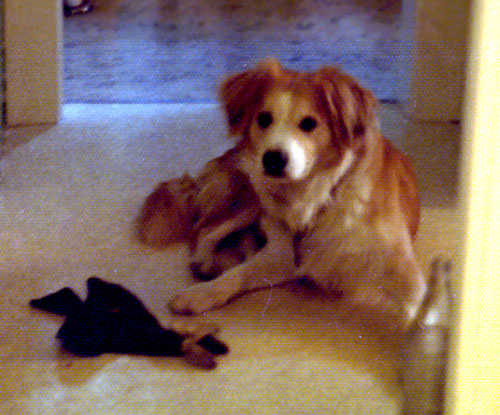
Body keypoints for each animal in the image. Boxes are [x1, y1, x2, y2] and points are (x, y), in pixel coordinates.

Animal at [139, 58, 426, 329]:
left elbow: (424, 313)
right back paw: (206, 263)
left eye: (309, 123)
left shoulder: (401, 267)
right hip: (250, 196)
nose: (273, 160)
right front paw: (199, 294)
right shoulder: (281, 256)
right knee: (204, 228)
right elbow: (236, 275)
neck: (315, 198)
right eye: (264, 119)